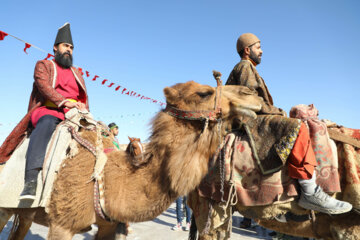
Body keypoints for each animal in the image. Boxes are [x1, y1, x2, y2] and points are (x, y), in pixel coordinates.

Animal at [0, 79, 262, 240]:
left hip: (24, 214)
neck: (106, 176)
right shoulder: (62, 224)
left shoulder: (107, 225)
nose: (252, 95)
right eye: (204, 92)